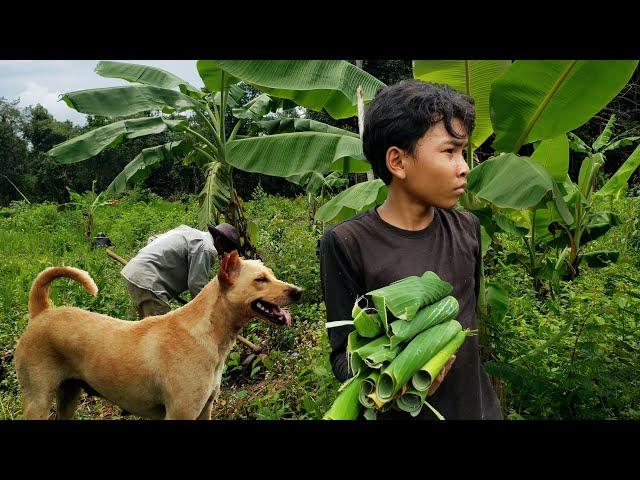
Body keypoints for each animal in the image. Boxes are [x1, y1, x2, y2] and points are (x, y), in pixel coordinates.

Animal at [13, 251, 302, 420]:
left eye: (271, 275)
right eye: (260, 280)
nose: (298, 291)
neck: (208, 333)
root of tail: (42, 312)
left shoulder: (205, 409)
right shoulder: (180, 413)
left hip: (69, 395)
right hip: (38, 401)